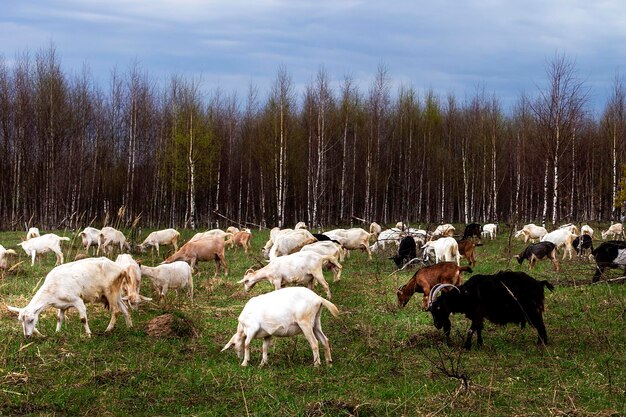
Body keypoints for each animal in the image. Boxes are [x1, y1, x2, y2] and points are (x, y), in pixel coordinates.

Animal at [5, 256, 133, 338]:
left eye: (31, 320)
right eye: (20, 321)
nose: (26, 336)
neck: (52, 289)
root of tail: (121, 270)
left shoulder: (77, 300)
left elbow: (83, 318)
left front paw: (88, 335)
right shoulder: (61, 305)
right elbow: (59, 318)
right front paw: (57, 332)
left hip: (110, 291)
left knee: (115, 311)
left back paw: (107, 330)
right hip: (116, 293)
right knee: (125, 309)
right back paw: (129, 327)